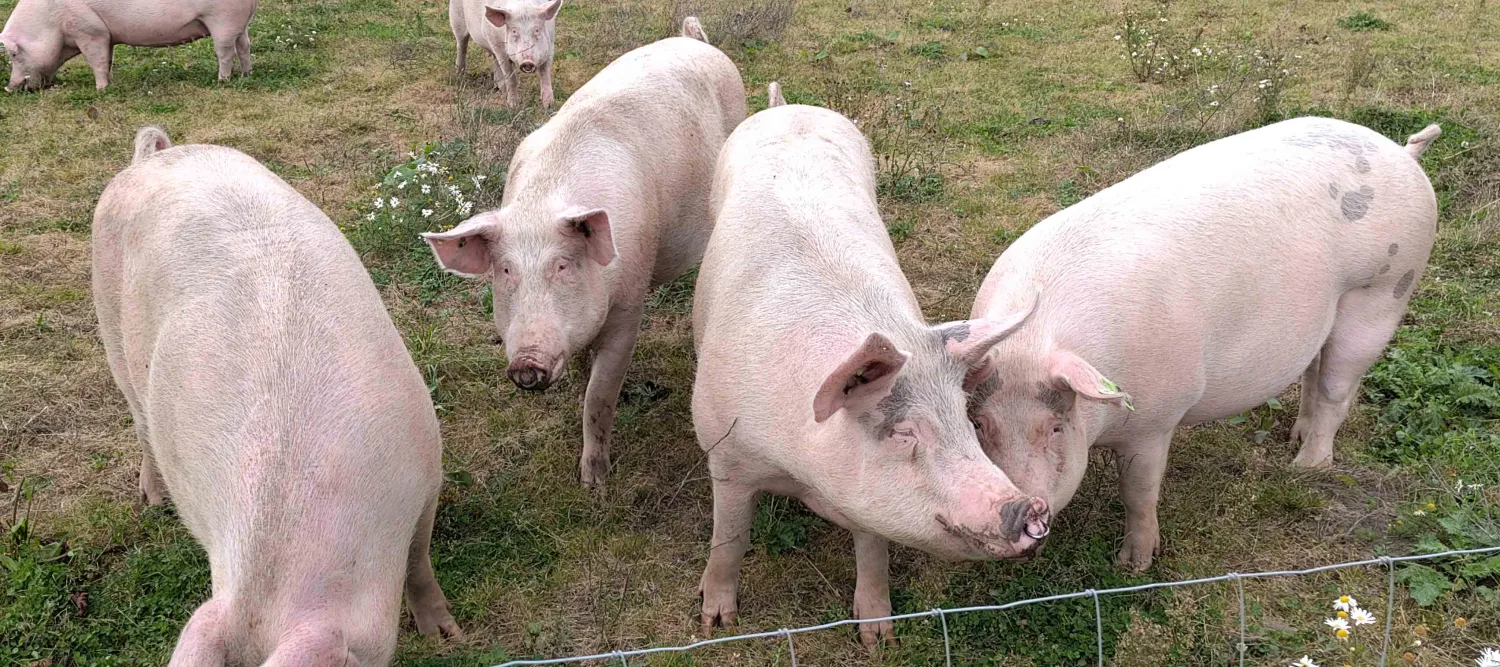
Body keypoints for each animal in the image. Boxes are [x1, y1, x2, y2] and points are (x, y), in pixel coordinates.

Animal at [1, 0, 254, 92]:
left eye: (14, 54)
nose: (8, 88)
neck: (49, 21)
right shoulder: (107, 36)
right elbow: (108, 59)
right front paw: (109, 84)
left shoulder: (89, 30)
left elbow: (96, 60)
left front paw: (101, 90)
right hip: (239, 23)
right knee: (244, 46)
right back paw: (246, 75)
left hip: (222, 18)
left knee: (225, 51)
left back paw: (222, 80)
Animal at [93, 127, 462, 665]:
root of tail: (150, 158)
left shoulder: (427, 467)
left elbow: (419, 563)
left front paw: (448, 637)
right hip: (110, 325)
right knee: (140, 423)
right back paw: (155, 501)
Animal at [422, 20, 745, 488]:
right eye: (505, 271)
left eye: (563, 265)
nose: (526, 363)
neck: (544, 202)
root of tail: (695, 41)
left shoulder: (630, 301)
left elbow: (599, 396)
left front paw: (594, 485)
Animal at [692, 93, 1050, 647]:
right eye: (903, 432)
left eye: (966, 421)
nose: (1030, 507)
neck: (801, 468)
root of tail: (788, 106)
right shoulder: (724, 451)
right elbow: (730, 536)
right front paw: (717, 623)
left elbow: (873, 549)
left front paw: (878, 638)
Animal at [964, 117, 1441, 573]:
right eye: (979, 425)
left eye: (1055, 428)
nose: (1020, 512)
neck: (1030, 341)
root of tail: (1403, 152)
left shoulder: (1155, 420)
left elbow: (1138, 492)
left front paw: (1133, 566)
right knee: (1313, 369)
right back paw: (1295, 437)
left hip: (1385, 291)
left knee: (1336, 389)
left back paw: (1305, 466)